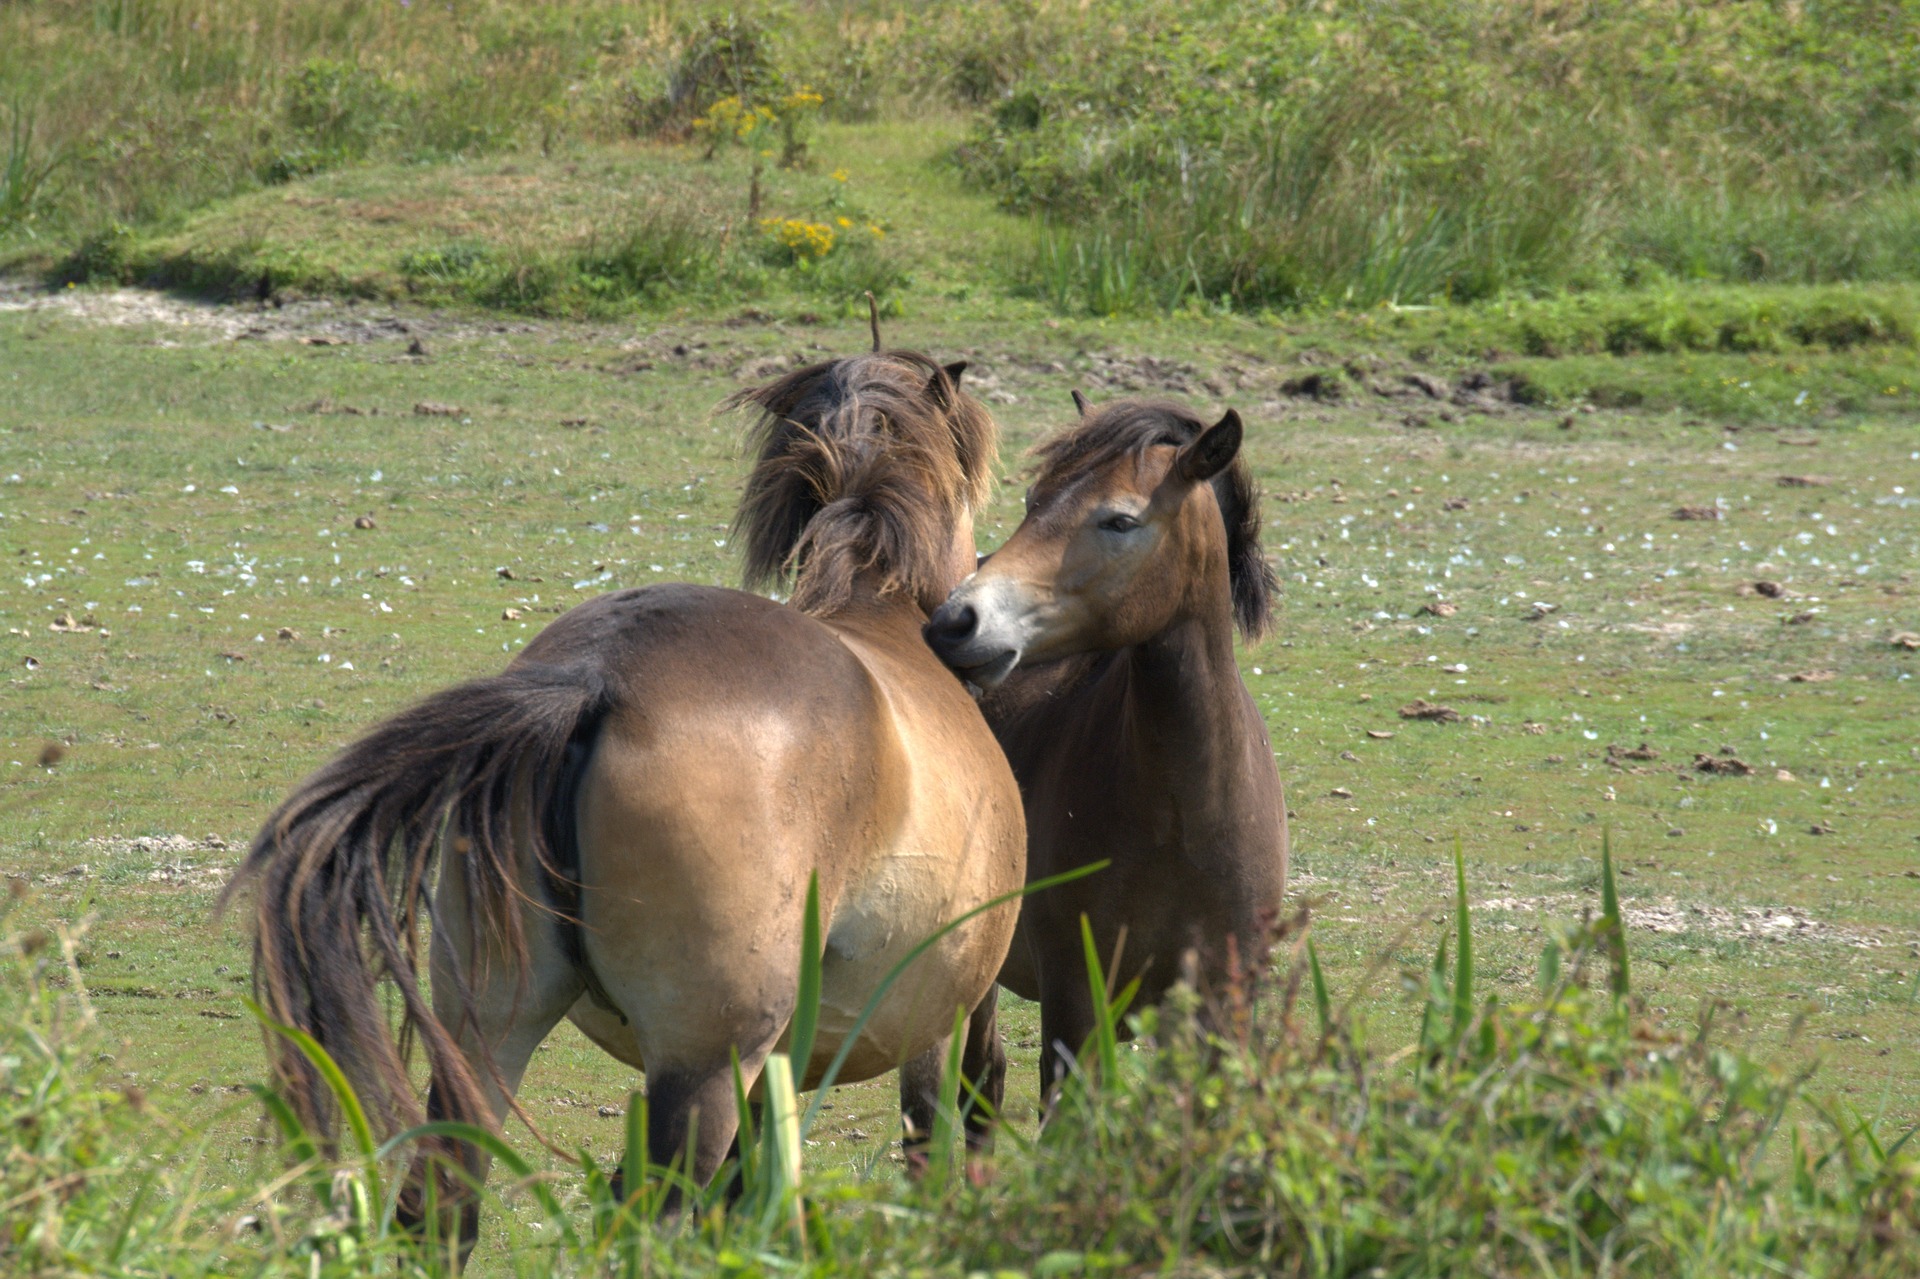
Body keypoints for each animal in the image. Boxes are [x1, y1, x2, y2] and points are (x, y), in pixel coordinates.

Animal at [222, 350, 1026, 1249]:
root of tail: (596, 678)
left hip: (486, 1033)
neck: (880, 616)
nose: (977, 631)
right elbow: (941, 1130)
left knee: (441, 1204)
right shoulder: (945, 1021)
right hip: (700, 1067)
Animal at [922, 394, 1289, 1105]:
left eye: (1119, 520)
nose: (955, 624)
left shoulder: (1220, 1008)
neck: (1183, 816)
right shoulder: (1074, 1001)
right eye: (1033, 499)